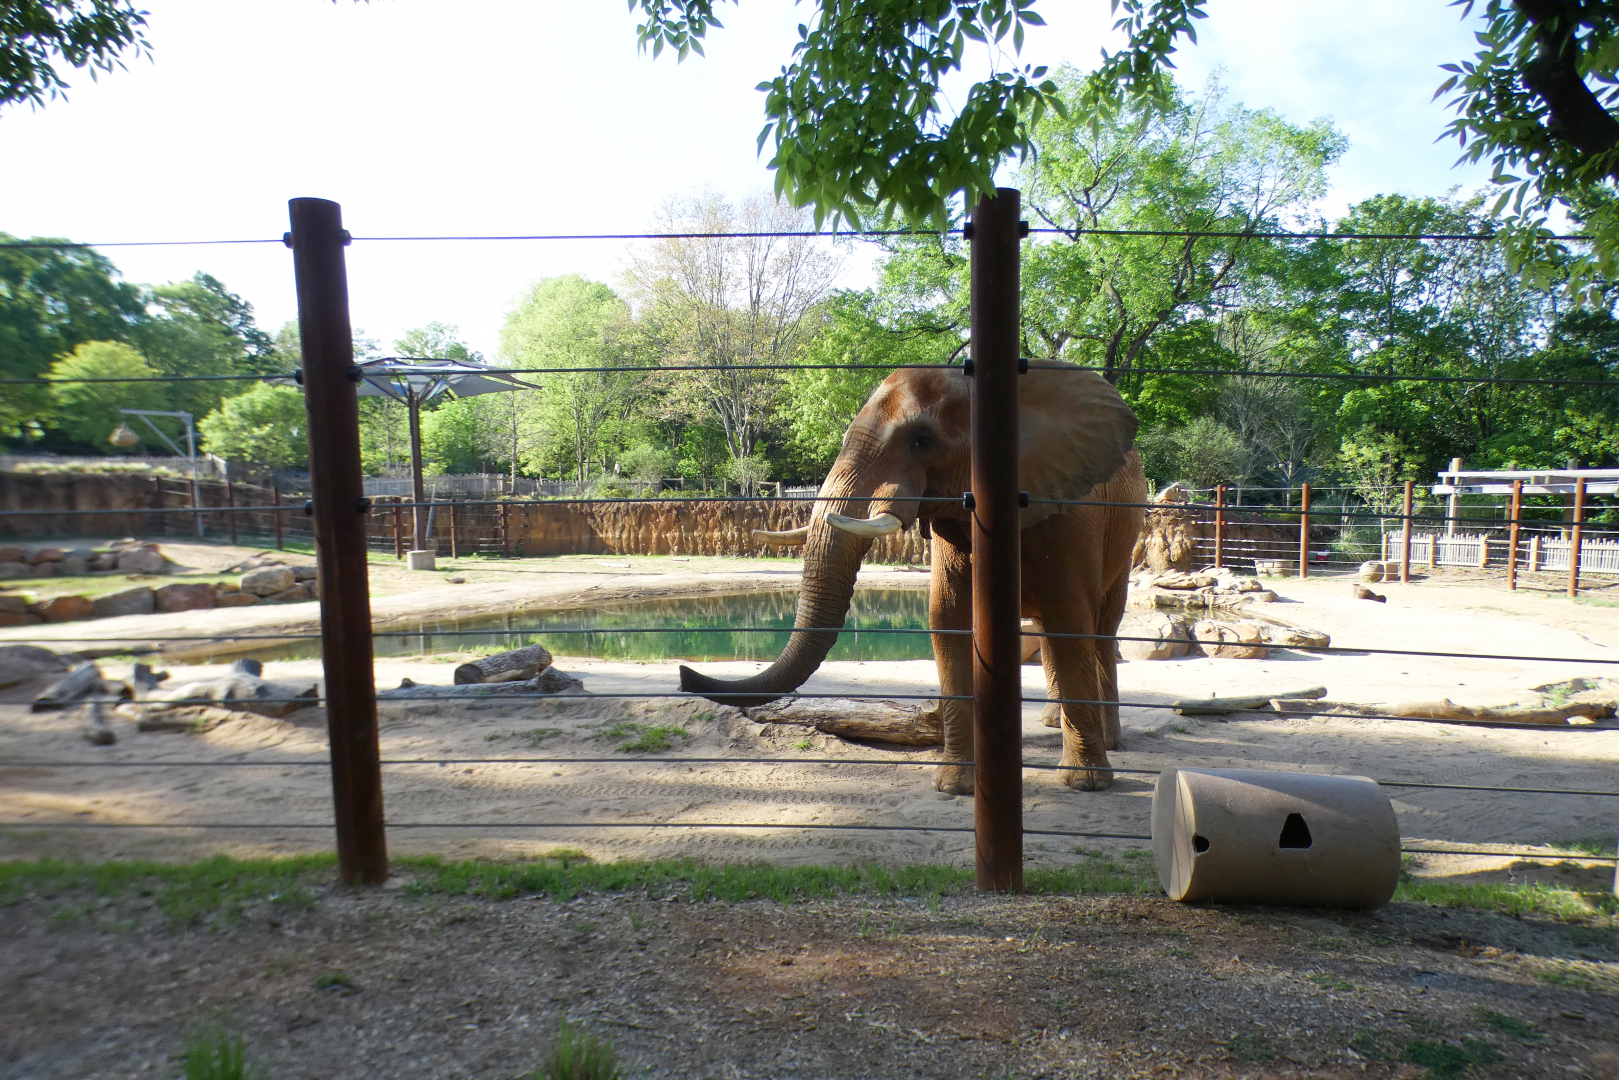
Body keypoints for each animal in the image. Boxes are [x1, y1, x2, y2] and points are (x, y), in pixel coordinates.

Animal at [679, 362, 1146, 794]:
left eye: (922, 441)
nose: (685, 674)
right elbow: (948, 620)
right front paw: (954, 786)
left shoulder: (1071, 515)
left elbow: (1071, 621)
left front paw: (1085, 783)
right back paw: (1052, 722)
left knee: (1101, 625)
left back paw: (1108, 742)